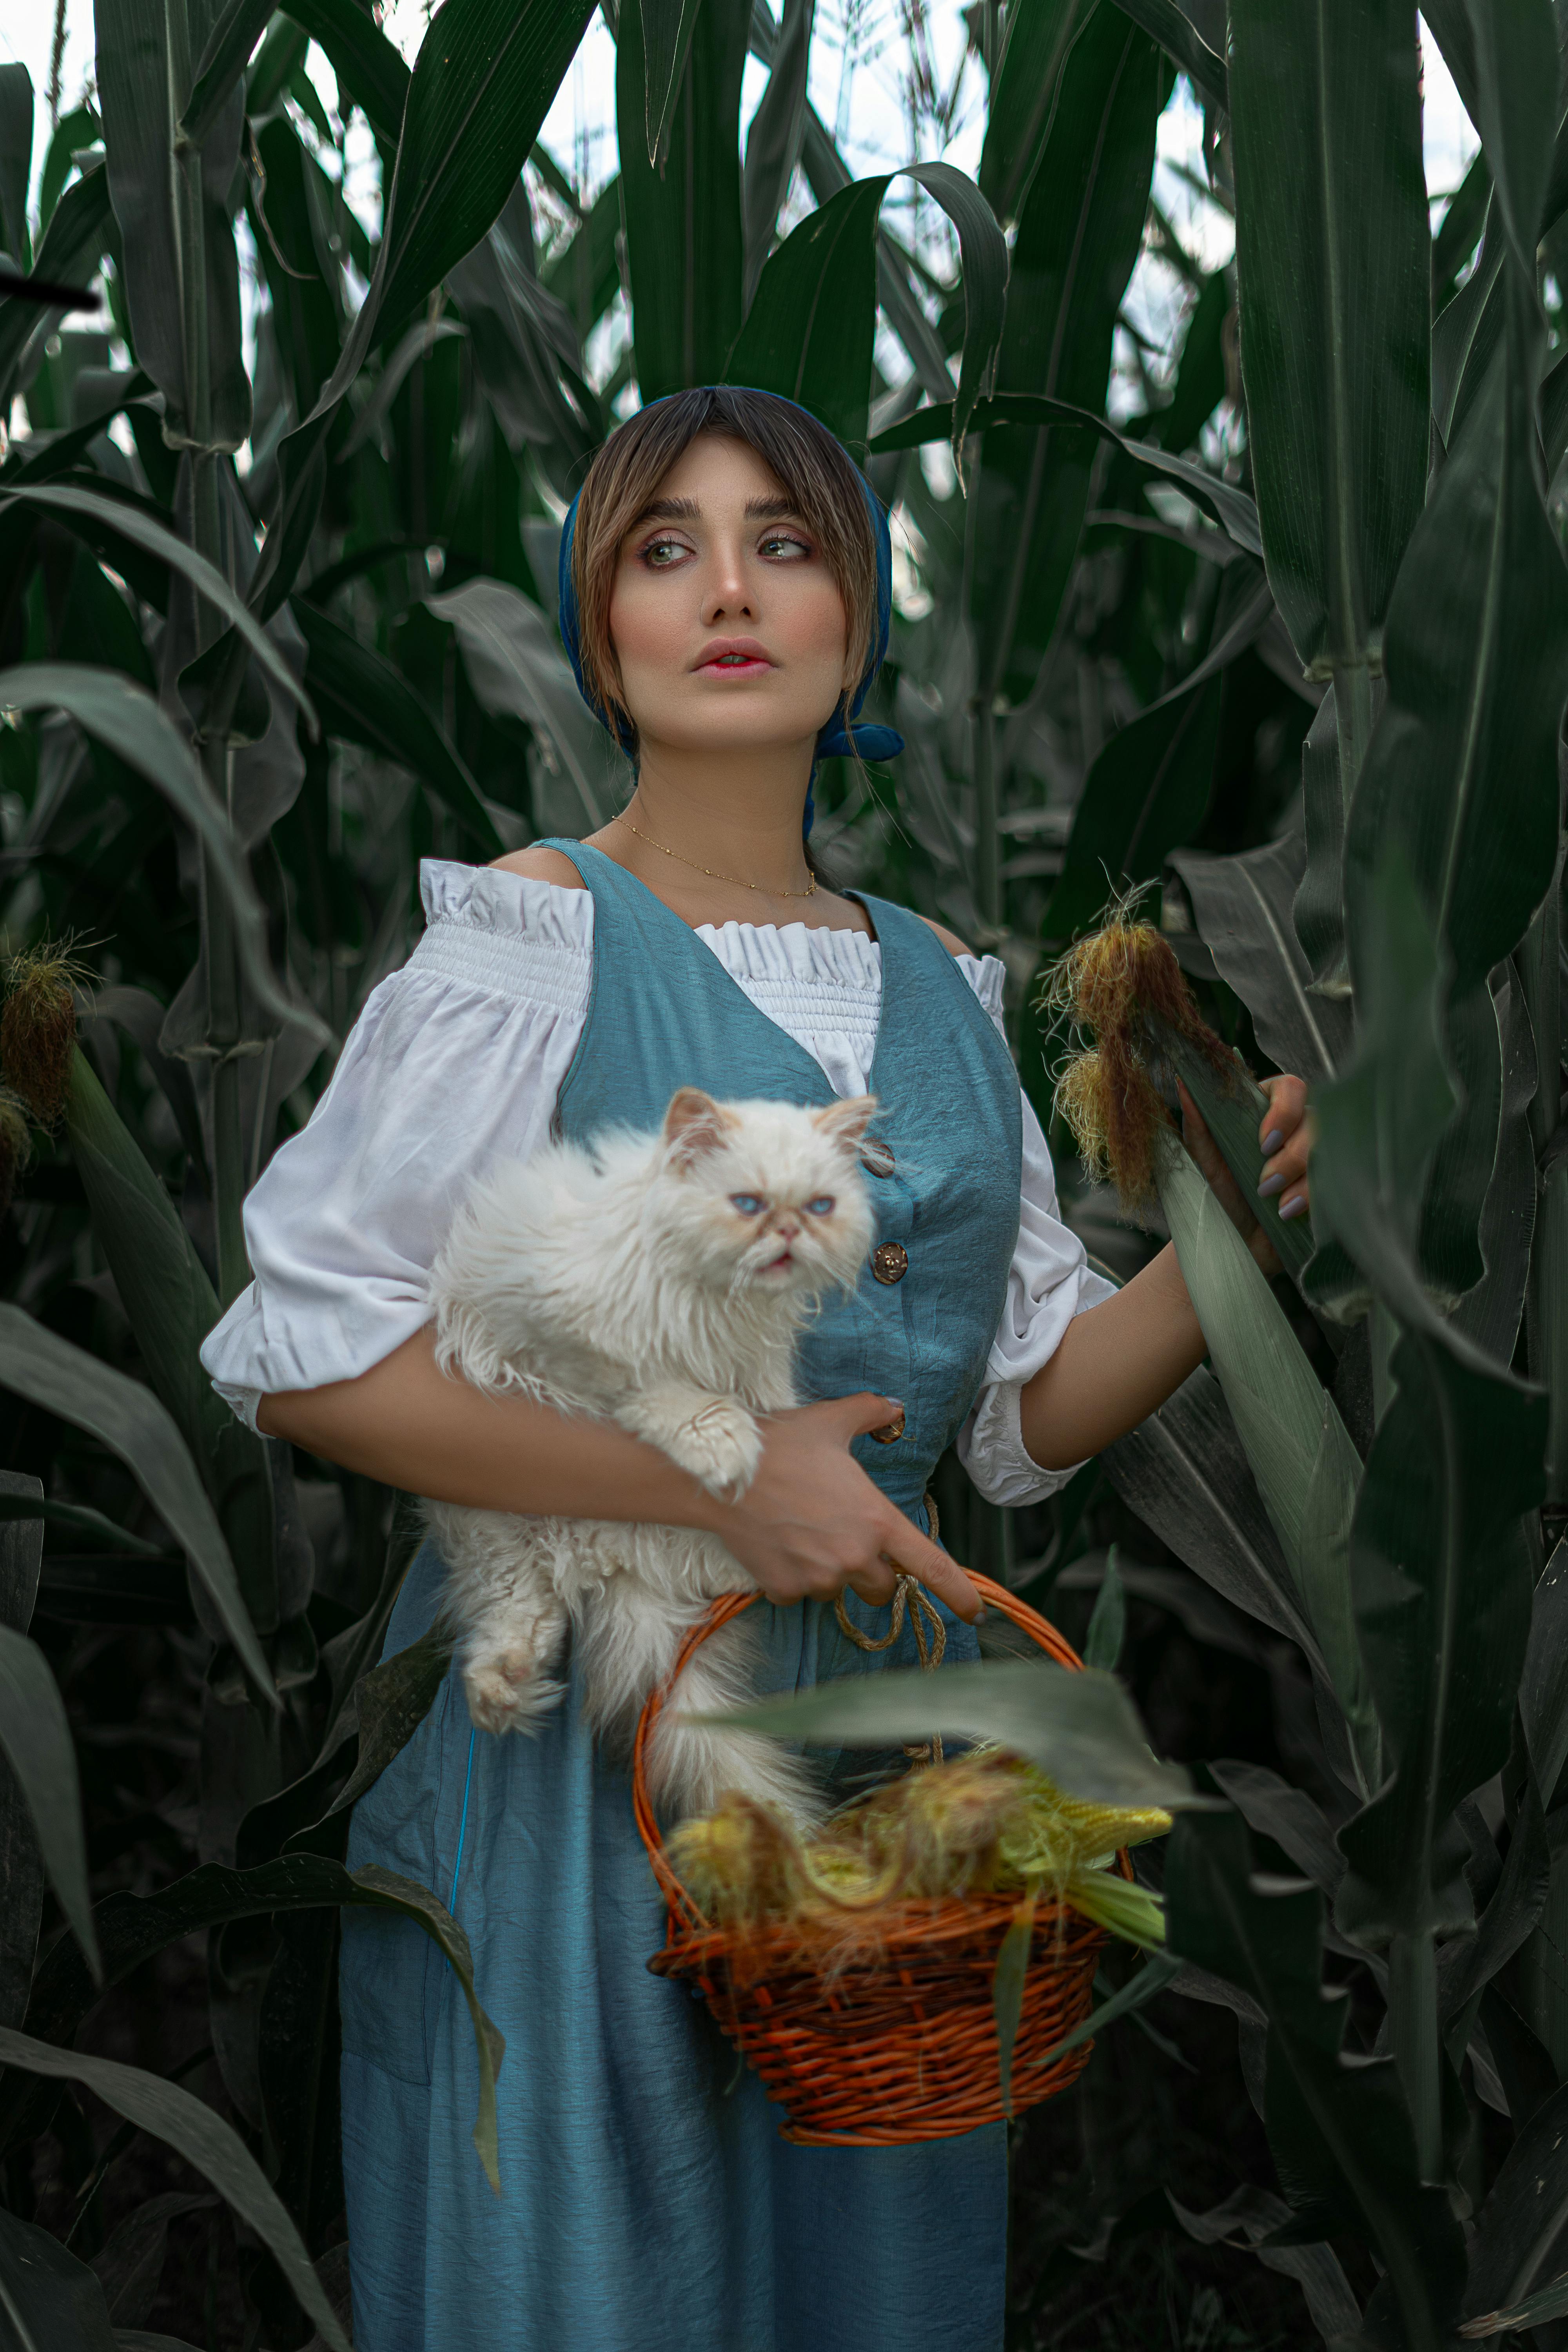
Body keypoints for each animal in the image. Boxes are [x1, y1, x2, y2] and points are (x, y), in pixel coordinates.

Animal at [423, 1082, 879, 1816]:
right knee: (521, 1604)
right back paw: (503, 1690)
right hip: (493, 1528)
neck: (718, 1302)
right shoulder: (568, 1334)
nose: (789, 1232)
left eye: (820, 1207)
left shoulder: (760, 1364)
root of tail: (602, 1556)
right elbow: (656, 1389)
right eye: (748, 1204)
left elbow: (766, 1403)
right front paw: (722, 1443)